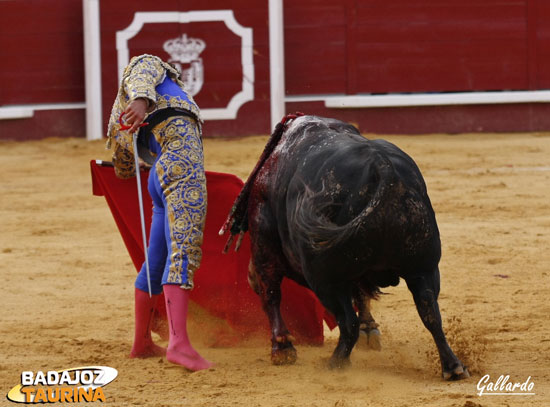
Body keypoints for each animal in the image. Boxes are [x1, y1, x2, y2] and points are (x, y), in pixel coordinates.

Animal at [222, 113, 472, 380]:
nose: (249, 277)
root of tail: (383, 169)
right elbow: (363, 294)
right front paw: (369, 330)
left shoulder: (264, 240)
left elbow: (271, 293)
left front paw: (282, 349)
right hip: (423, 267)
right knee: (430, 312)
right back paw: (453, 366)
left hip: (326, 279)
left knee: (347, 322)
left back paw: (335, 363)